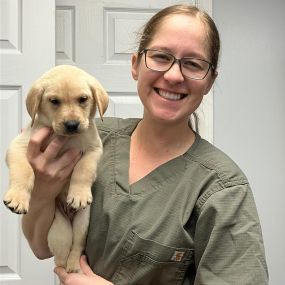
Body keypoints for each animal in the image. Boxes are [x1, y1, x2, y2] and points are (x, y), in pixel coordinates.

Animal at [2, 65, 108, 272]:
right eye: (54, 101)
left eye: (83, 99)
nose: (72, 125)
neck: (67, 140)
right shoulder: (18, 146)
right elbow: (24, 171)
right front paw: (18, 198)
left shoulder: (94, 149)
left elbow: (84, 169)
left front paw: (79, 194)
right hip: (60, 230)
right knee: (60, 259)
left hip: (83, 223)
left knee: (76, 247)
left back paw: (74, 266)